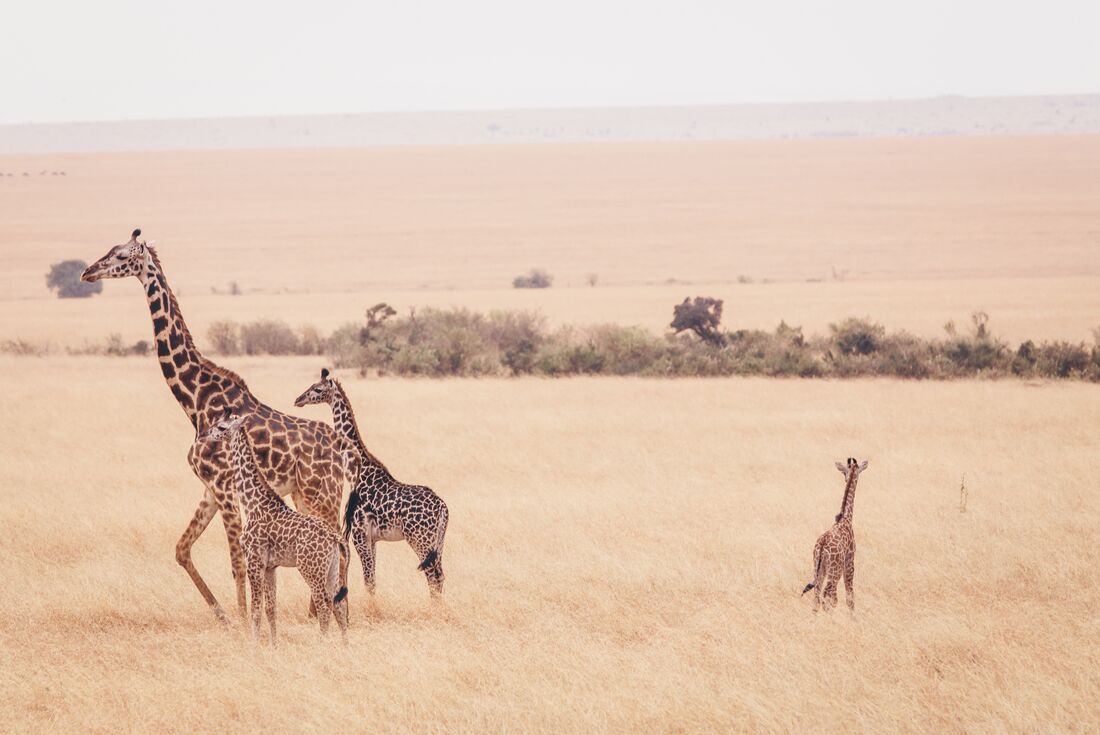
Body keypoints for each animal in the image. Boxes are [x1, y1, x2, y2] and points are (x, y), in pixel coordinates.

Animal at [199, 409, 349, 643]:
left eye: (222, 427)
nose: (206, 434)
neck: (252, 502)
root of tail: (334, 538)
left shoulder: (254, 560)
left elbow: (256, 608)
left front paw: (254, 645)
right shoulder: (271, 566)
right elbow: (271, 609)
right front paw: (273, 644)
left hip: (310, 569)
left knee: (324, 606)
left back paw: (322, 643)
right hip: (331, 568)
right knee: (338, 605)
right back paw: (344, 645)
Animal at [294, 369, 449, 598]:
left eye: (318, 389)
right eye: (312, 386)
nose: (298, 399)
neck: (359, 472)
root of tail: (442, 508)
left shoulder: (360, 535)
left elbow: (369, 582)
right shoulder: (372, 539)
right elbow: (372, 581)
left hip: (421, 539)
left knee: (433, 578)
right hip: (437, 542)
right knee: (440, 576)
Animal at [801, 458, 869, 614]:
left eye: (844, 472)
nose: (845, 478)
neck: (846, 518)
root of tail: (821, 546)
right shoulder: (850, 563)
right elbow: (850, 597)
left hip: (819, 568)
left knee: (817, 595)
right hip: (834, 571)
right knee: (828, 594)